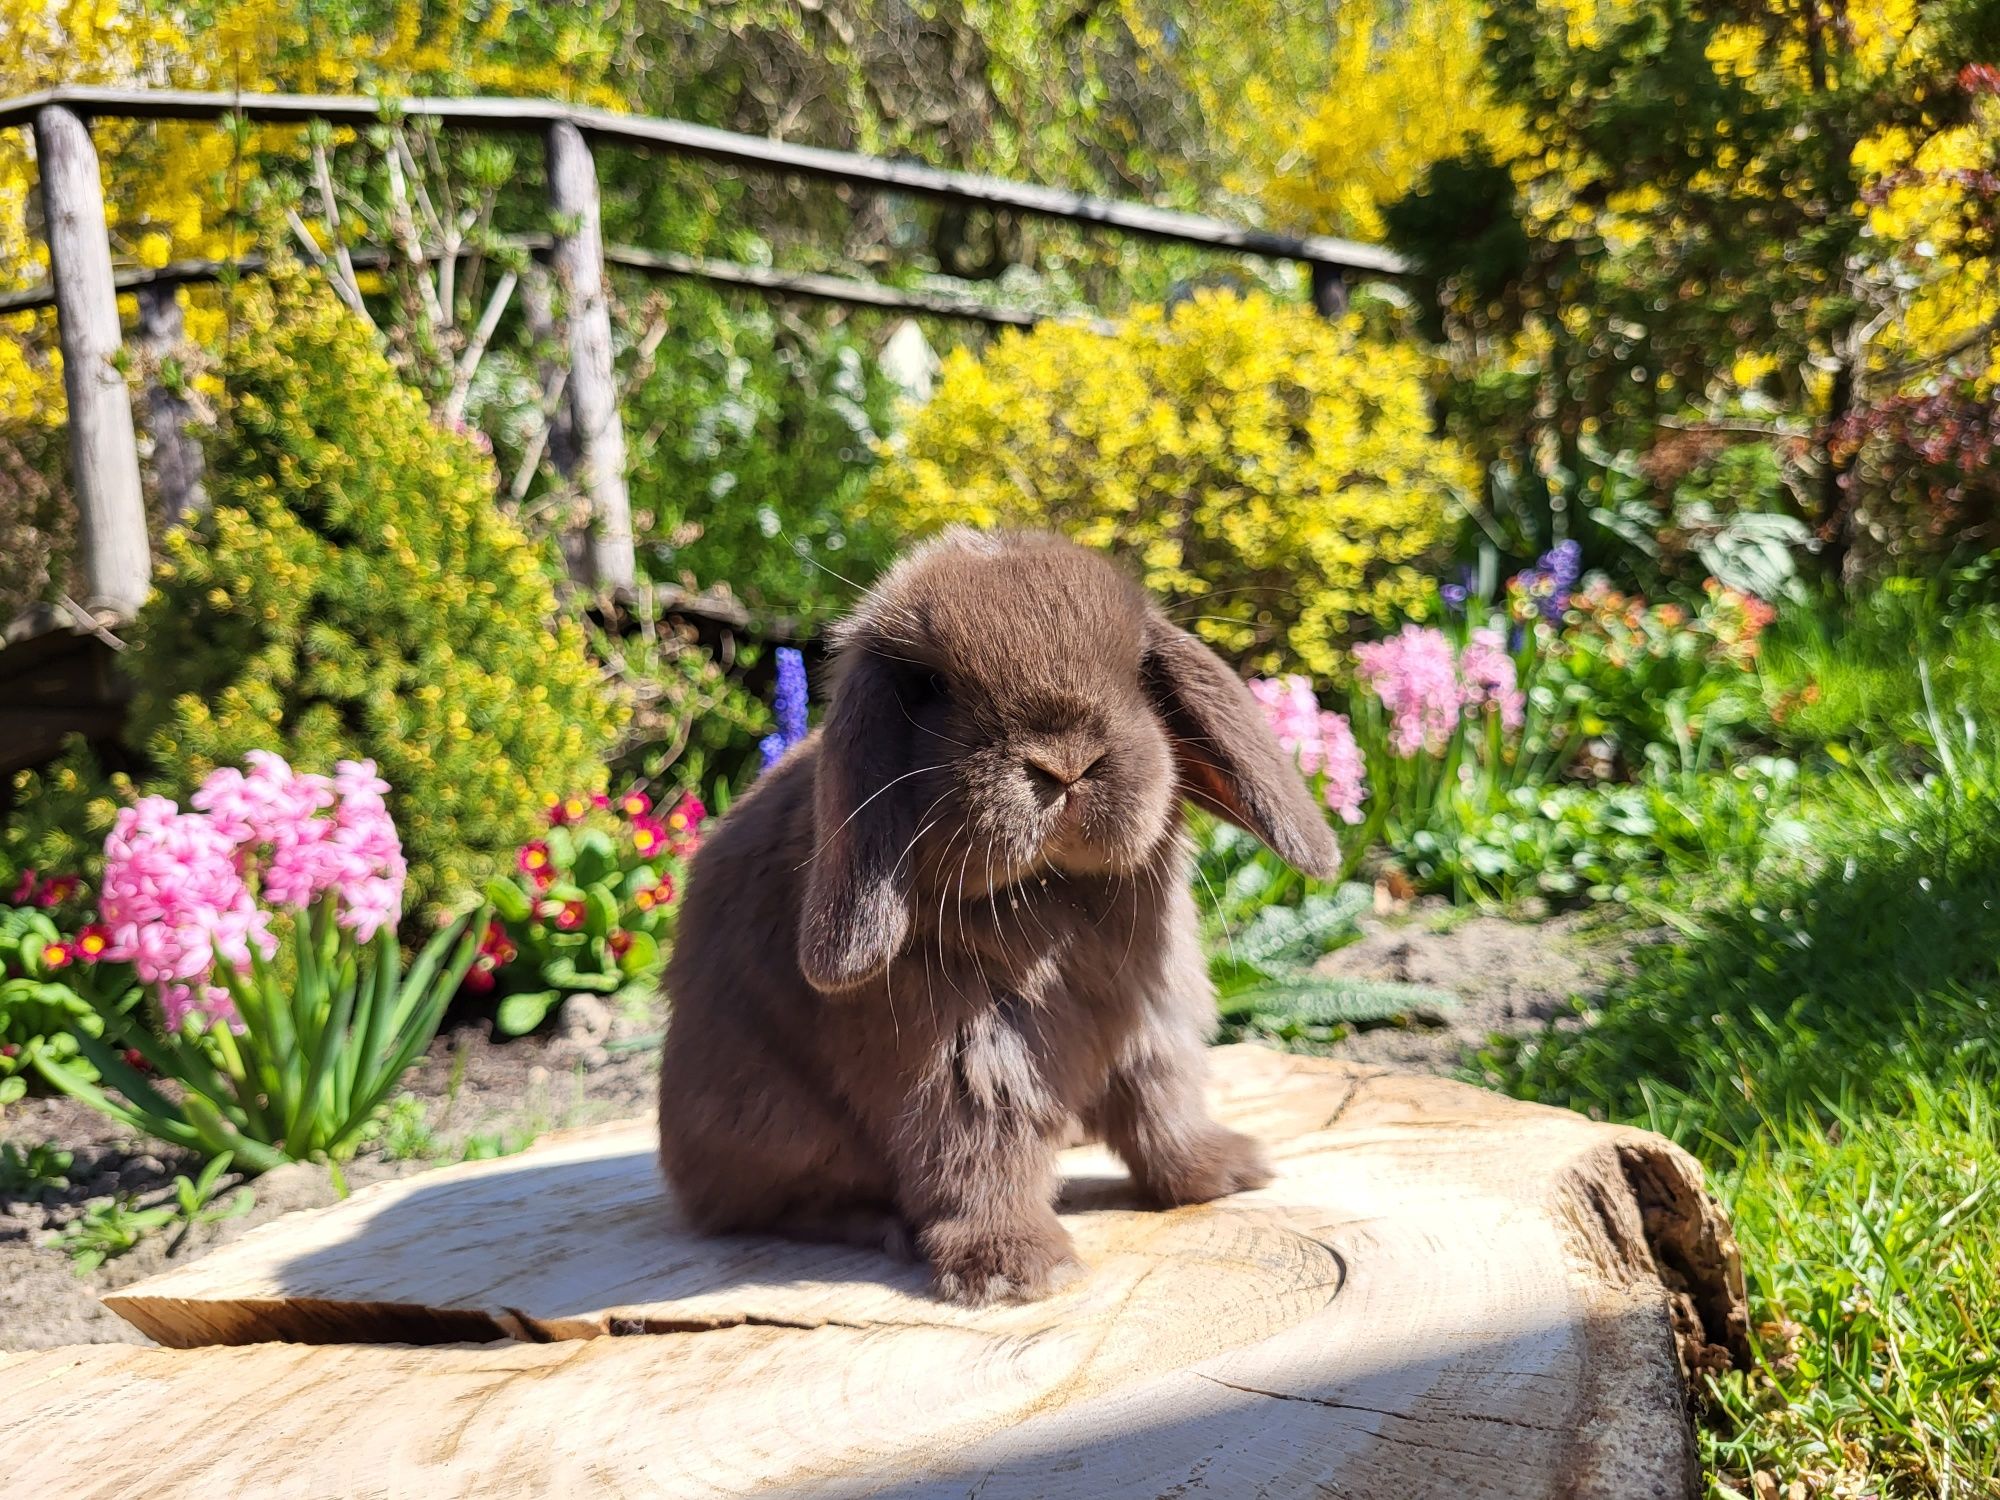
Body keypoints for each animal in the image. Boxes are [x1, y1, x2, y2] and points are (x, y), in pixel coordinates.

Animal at [660, 528, 1344, 1304]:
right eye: (931, 688)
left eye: (1140, 668)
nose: (1066, 762)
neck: (1053, 892)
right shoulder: (961, 1062)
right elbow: (979, 1159)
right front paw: (1017, 1269)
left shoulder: (1150, 1024)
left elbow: (1163, 1109)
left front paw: (1226, 1172)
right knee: (780, 1206)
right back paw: (883, 1226)